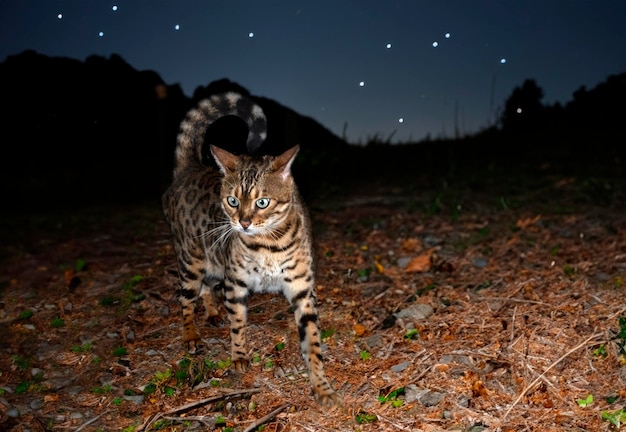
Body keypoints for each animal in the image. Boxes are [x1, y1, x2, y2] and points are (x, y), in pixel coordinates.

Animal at [158, 93, 338, 406]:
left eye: (262, 202)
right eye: (232, 200)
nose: (242, 222)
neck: (269, 245)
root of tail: (189, 167)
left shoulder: (303, 289)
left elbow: (313, 343)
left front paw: (321, 385)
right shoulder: (236, 283)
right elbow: (238, 324)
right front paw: (239, 357)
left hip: (213, 262)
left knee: (207, 288)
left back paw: (212, 313)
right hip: (190, 261)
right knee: (185, 299)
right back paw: (191, 335)